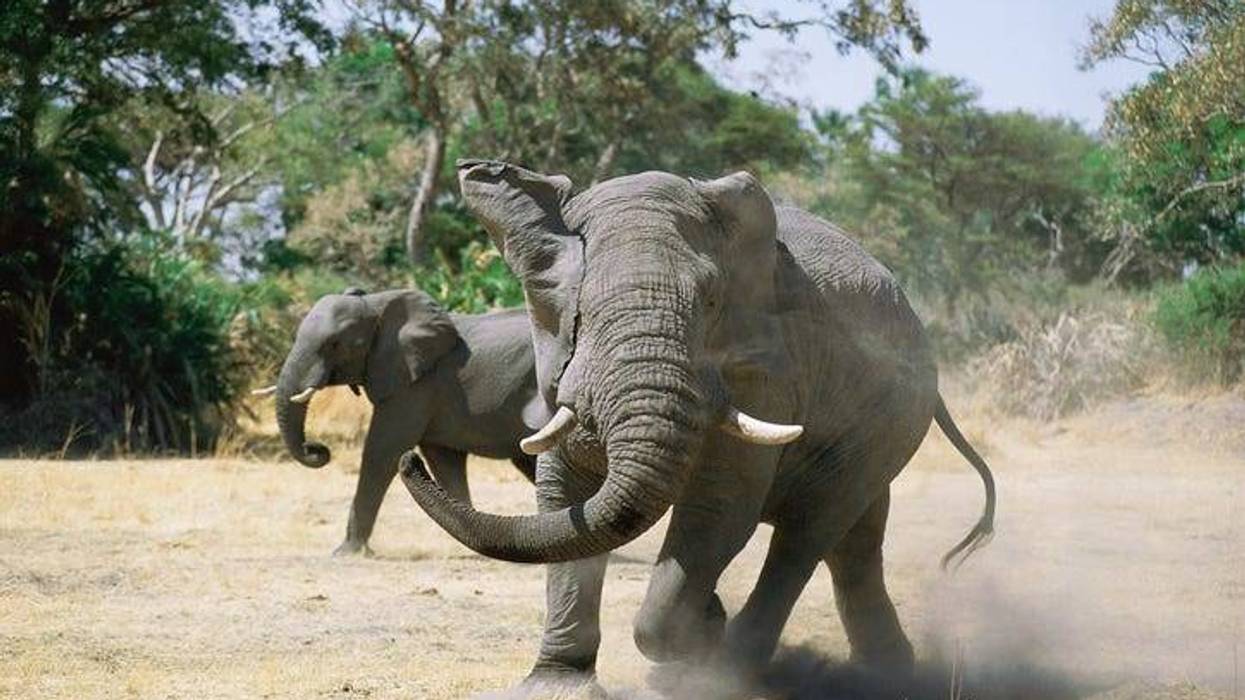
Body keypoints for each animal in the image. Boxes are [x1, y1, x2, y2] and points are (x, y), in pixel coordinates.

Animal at [257, 287, 543, 557]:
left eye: (335, 344)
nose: (317, 450)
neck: (375, 304)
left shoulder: (414, 387)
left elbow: (381, 452)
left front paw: (346, 553)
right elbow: (444, 462)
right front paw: (474, 547)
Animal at [396, 161, 997, 691]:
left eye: (710, 303)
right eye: (580, 309)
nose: (411, 460)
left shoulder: (762, 370)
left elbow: (720, 503)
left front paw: (700, 635)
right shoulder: (558, 369)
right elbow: (565, 499)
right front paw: (557, 685)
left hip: (889, 421)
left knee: (808, 534)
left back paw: (737, 669)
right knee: (853, 542)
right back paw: (886, 673)